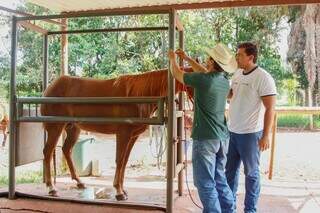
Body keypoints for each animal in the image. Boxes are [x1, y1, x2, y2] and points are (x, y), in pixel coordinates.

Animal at [41, 68, 194, 200]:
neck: (137, 95)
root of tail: (49, 88)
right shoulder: (123, 134)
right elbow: (119, 160)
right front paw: (119, 192)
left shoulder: (133, 136)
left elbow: (125, 161)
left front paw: (123, 189)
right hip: (55, 128)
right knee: (47, 152)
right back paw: (51, 188)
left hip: (73, 129)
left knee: (66, 150)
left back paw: (79, 182)